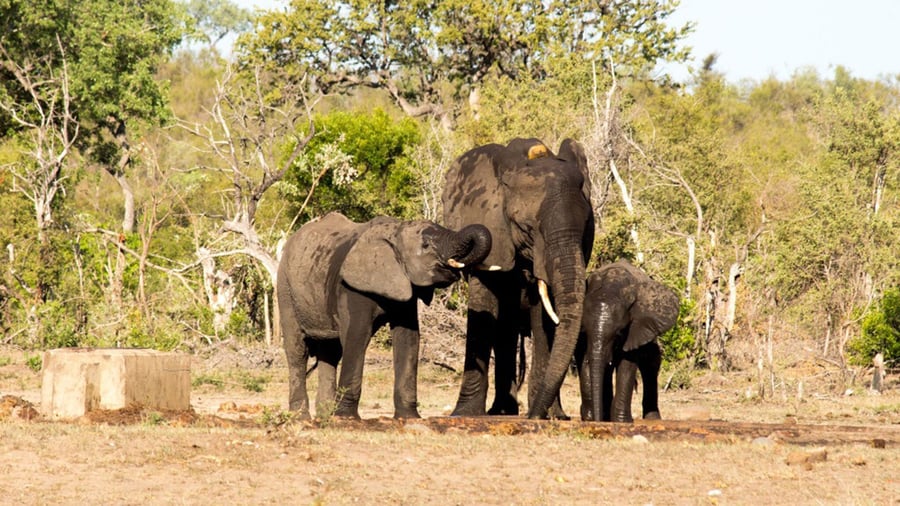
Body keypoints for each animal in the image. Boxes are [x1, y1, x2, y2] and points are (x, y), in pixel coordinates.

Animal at [276, 212, 492, 420]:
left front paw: (409, 418)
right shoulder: (352, 286)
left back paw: (324, 417)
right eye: (426, 245)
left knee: (330, 352)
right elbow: (357, 336)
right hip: (285, 289)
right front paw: (346, 418)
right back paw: (301, 418)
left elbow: (408, 338)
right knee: (297, 350)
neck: (395, 231)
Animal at [443, 138, 594, 419]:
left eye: (585, 230)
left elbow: (542, 318)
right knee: (505, 330)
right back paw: (502, 412)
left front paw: (547, 416)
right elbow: (484, 305)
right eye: (527, 229)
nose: (533, 414)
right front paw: (465, 414)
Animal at [576, 260, 680, 423]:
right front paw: (592, 418)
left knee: (651, 363)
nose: (598, 420)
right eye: (585, 331)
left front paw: (622, 421)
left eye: (619, 333)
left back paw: (653, 419)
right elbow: (585, 360)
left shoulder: (635, 328)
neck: (610, 286)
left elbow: (627, 365)